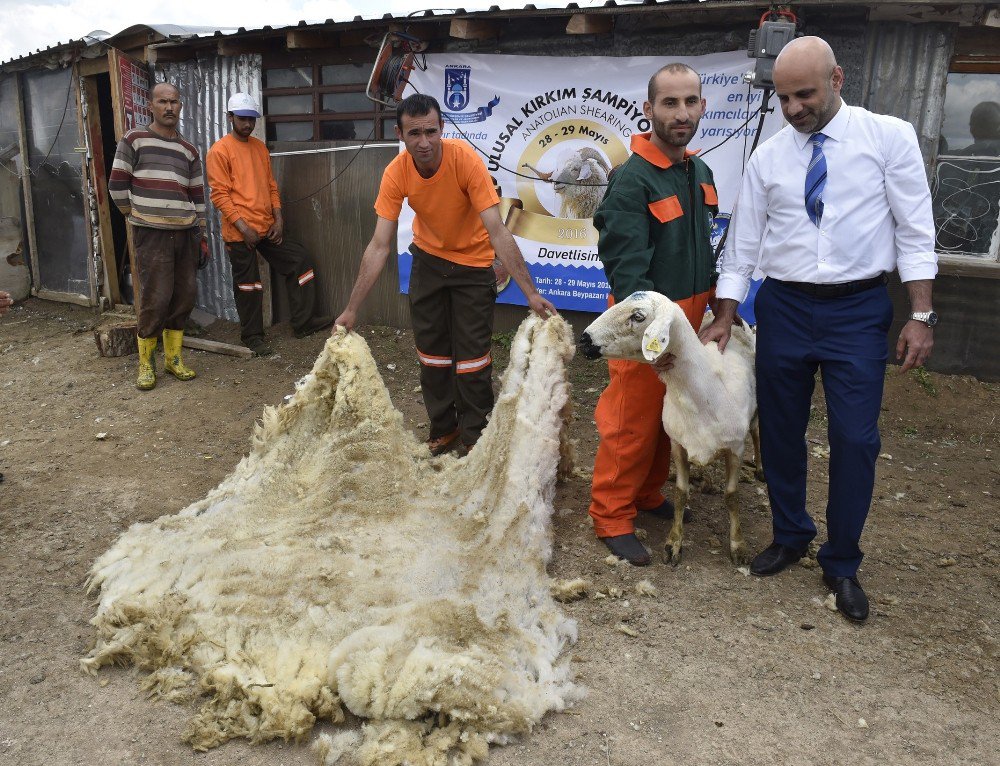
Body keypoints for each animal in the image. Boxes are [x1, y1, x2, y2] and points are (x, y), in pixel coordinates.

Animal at [580, 292, 756, 568]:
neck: (705, 392)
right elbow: (681, 494)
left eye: (638, 316)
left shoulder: (736, 447)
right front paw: (673, 543)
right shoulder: (678, 445)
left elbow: (731, 496)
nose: (584, 339)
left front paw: (738, 546)